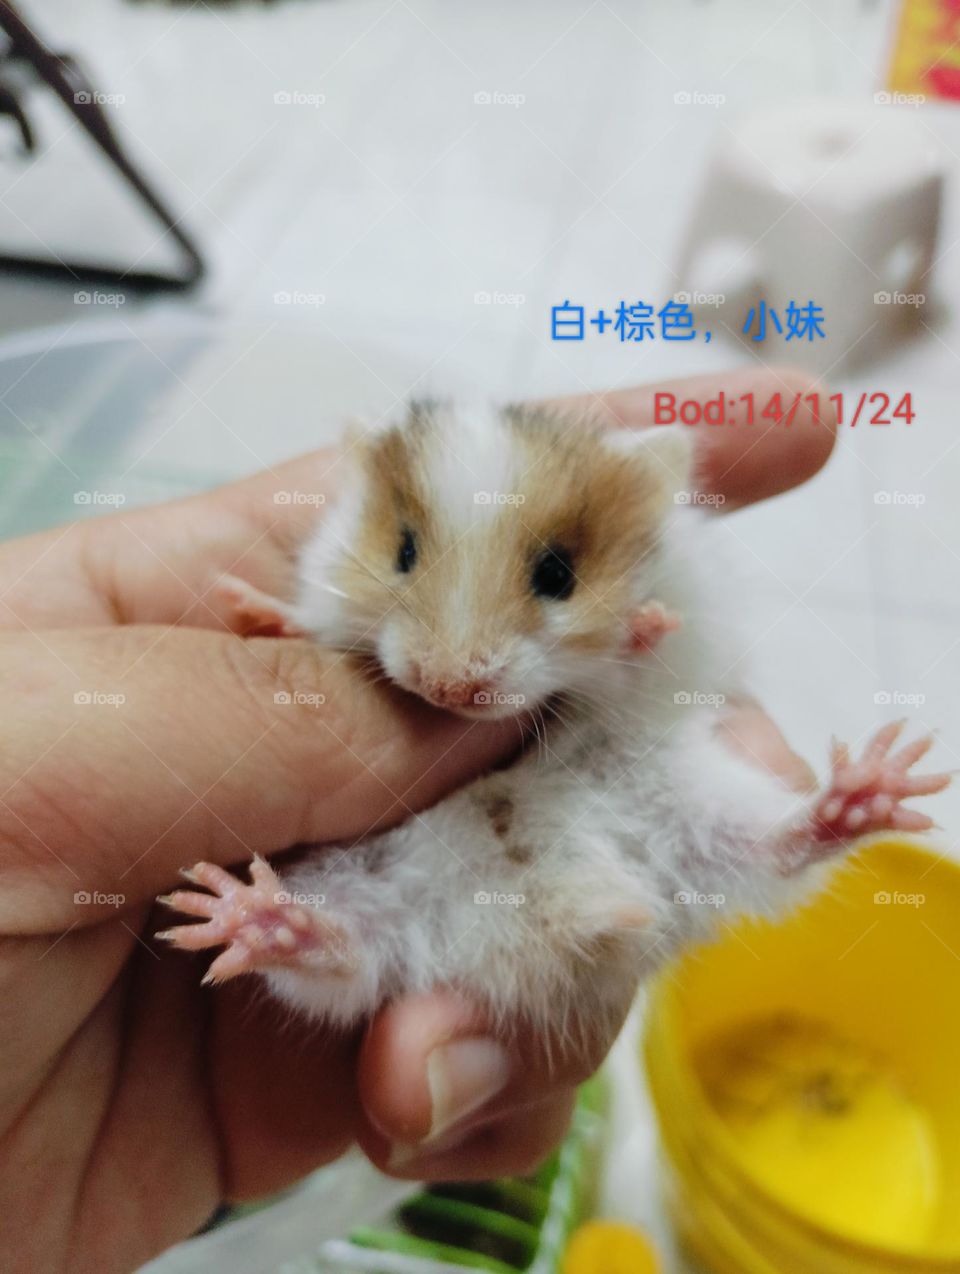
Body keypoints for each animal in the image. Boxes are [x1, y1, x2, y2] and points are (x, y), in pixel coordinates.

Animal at [158, 400, 950, 1046]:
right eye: (402, 553)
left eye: (558, 575)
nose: (451, 686)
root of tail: (546, 933)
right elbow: (313, 622)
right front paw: (252, 610)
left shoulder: (684, 653)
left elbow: (638, 663)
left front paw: (640, 624)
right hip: (356, 885)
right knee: (337, 958)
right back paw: (234, 913)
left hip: (695, 804)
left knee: (780, 846)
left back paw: (876, 783)